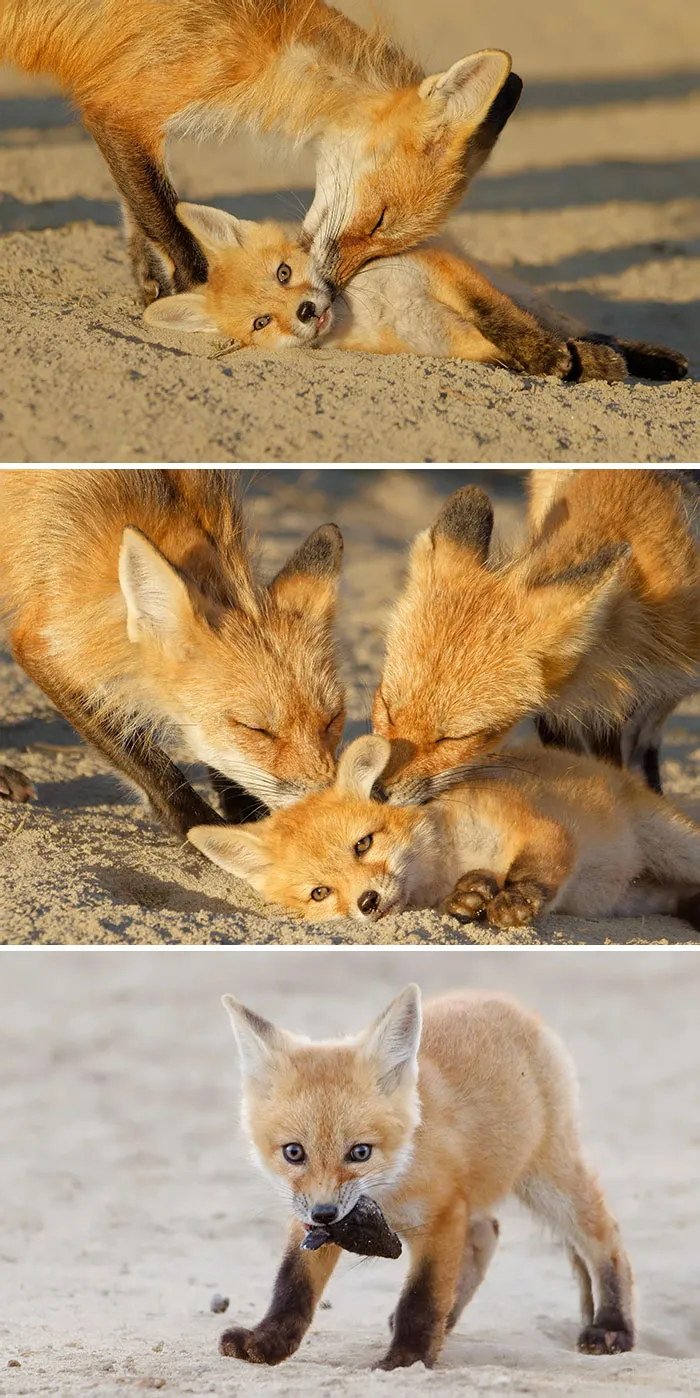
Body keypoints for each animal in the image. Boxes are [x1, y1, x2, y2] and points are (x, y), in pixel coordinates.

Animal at [0, 0, 521, 302]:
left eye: (391, 245)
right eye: (379, 221)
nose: (330, 293)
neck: (270, 40)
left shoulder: (125, 117)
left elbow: (140, 214)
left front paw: (152, 283)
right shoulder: (120, 111)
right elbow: (168, 223)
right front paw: (200, 298)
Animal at [0, 469, 345, 836]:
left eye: (333, 719)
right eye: (255, 729)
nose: (330, 806)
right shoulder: (48, 638)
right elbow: (151, 765)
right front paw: (201, 828)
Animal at [143, 203, 688, 383]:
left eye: (283, 272)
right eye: (262, 323)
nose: (305, 311)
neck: (376, 306)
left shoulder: (443, 274)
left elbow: (502, 321)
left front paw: (554, 357)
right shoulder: (441, 341)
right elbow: (502, 350)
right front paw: (569, 366)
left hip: (532, 298)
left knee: (582, 329)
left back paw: (653, 359)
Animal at [188, 735, 700, 932]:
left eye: (363, 844)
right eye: (320, 893)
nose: (367, 902)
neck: (453, 856)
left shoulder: (539, 826)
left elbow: (537, 866)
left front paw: (516, 898)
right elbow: (472, 889)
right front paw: (470, 896)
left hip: (677, 845)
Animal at [217, 981, 635, 1369]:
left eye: (360, 1152)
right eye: (294, 1152)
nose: (324, 1214)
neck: (390, 1188)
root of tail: (500, 999)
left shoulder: (443, 1216)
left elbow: (422, 1298)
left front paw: (408, 1358)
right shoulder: (310, 1219)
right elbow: (292, 1287)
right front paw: (267, 1342)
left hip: (546, 1181)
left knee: (605, 1237)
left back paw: (614, 1326)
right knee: (487, 1235)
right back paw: (449, 1320)